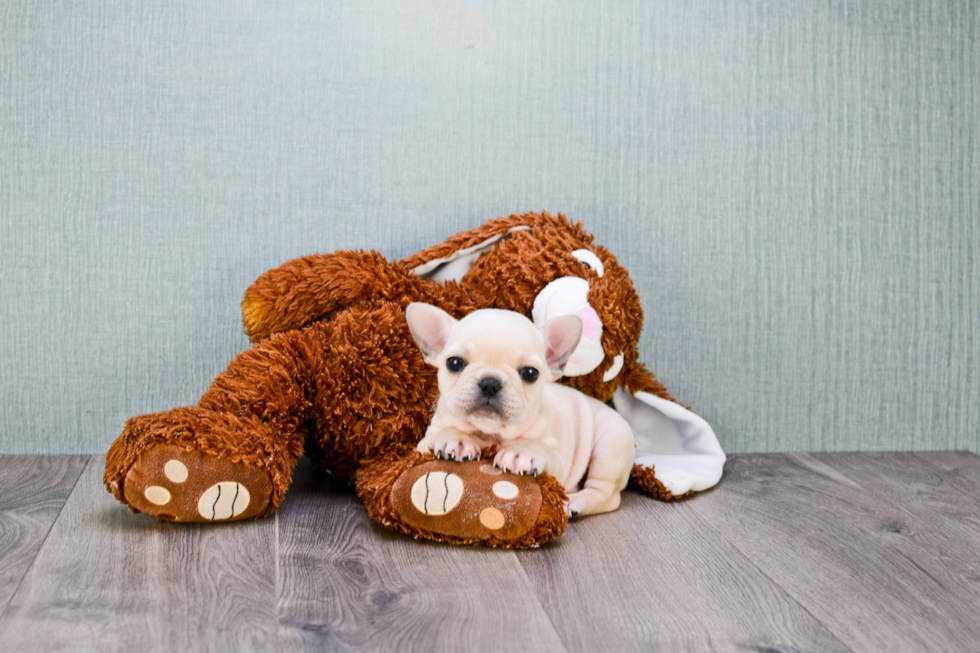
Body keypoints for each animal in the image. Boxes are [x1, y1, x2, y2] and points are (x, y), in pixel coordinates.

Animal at [404, 304, 636, 516]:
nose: (490, 383)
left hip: (611, 443)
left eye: (530, 373)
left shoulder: (556, 458)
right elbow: (443, 433)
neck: (490, 433)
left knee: (606, 492)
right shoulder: (425, 442)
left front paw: (523, 452)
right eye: (454, 363)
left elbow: (539, 447)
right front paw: (456, 439)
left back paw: (575, 503)